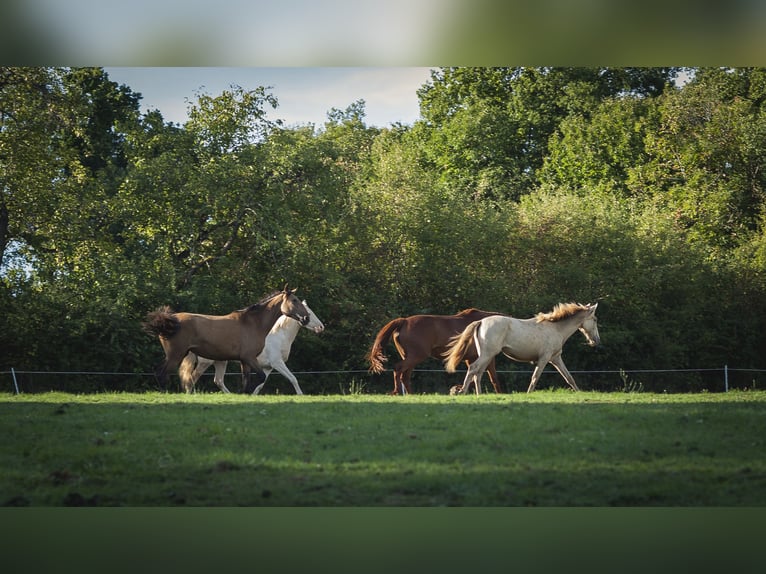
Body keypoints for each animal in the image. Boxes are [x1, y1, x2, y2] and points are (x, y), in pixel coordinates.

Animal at [143, 285, 310, 392]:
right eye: (294, 300)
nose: (306, 318)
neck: (253, 323)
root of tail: (169, 320)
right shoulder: (249, 358)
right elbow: (260, 378)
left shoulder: (244, 361)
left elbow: (247, 381)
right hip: (176, 355)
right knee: (162, 374)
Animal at [179, 300, 324, 394]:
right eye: (309, 313)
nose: (321, 327)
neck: (280, 337)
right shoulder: (277, 363)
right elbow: (293, 378)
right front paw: (301, 395)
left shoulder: (268, 367)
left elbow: (260, 385)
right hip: (205, 362)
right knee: (193, 377)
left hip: (220, 361)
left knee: (218, 380)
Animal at [366, 308, 507, 395]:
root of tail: (404, 321)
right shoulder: (486, 357)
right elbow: (493, 378)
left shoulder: (470, 359)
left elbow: (472, 377)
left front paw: (457, 389)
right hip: (416, 356)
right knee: (398, 369)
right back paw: (397, 391)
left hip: (410, 357)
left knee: (405, 375)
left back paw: (411, 395)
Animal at [443, 302, 600, 394]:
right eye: (595, 319)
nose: (596, 341)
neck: (556, 329)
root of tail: (480, 321)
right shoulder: (544, 359)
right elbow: (535, 377)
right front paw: (528, 394)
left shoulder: (555, 358)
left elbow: (569, 377)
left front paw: (579, 393)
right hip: (487, 354)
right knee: (473, 369)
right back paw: (462, 392)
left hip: (486, 355)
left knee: (478, 373)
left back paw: (479, 395)